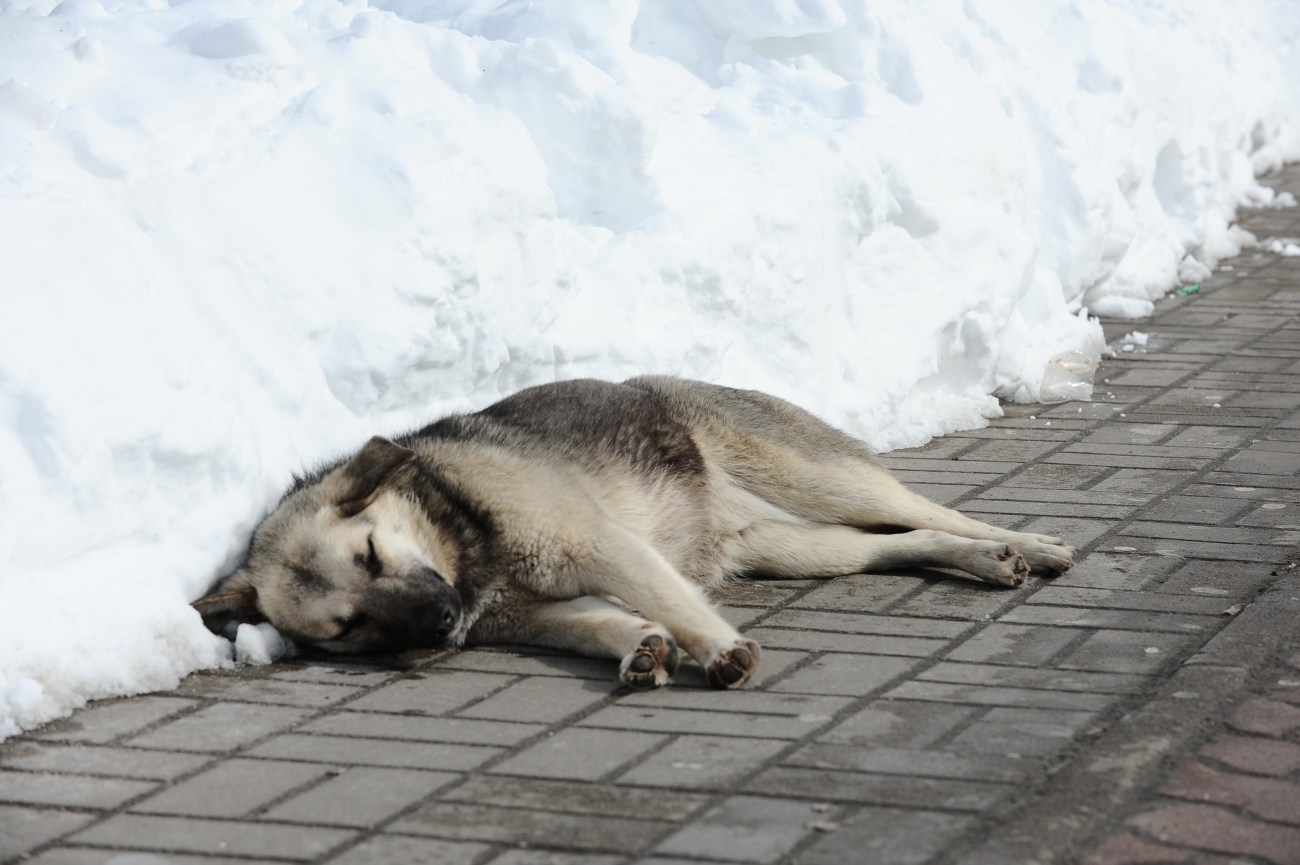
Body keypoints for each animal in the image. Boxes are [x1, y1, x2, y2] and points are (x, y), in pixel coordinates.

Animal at [189, 377, 1066, 686]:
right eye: (344, 626)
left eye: (371, 552)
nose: (438, 625)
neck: (465, 540)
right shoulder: (539, 612)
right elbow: (604, 622)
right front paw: (641, 648)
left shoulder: (598, 547)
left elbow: (672, 603)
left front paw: (715, 649)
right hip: (791, 545)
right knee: (894, 542)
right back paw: (983, 559)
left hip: (813, 475)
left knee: (928, 508)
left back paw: (1026, 542)